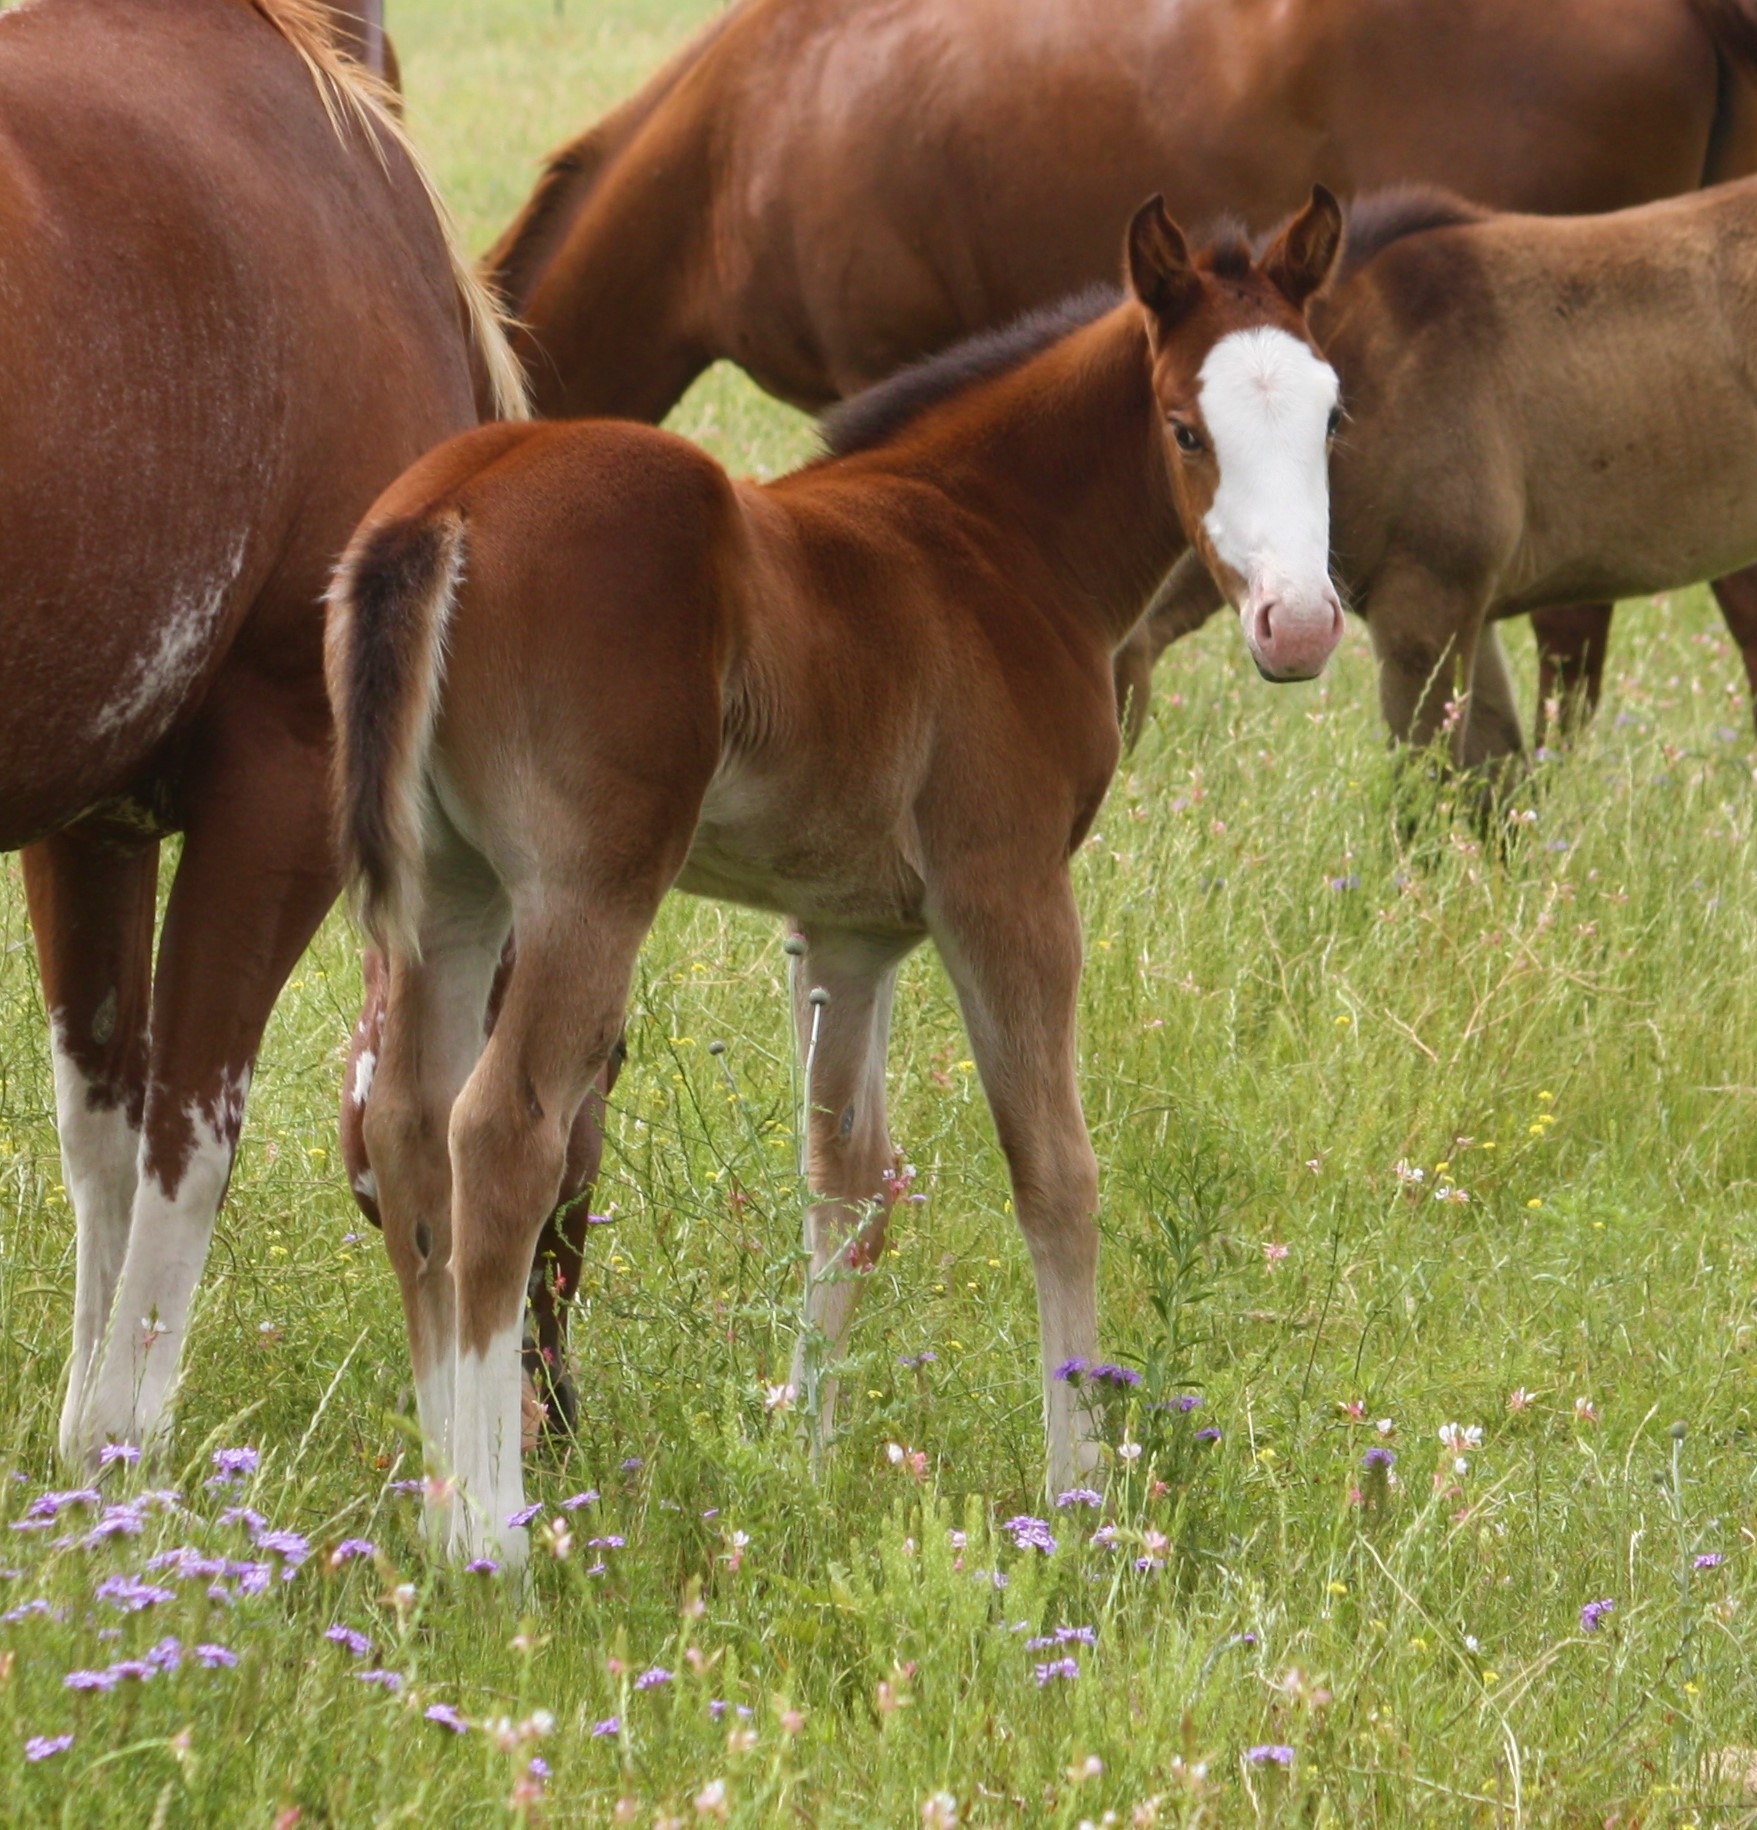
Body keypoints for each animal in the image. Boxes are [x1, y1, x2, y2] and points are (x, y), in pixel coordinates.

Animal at [5, 0, 524, 1470]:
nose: (550, 1414)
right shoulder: (286, 790)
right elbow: (191, 1149)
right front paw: (122, 1462)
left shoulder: (90, 816)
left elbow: (105, 1135)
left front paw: (74, 1468)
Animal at [325, 190, 1347, 1561]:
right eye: (1186, 427)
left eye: (1331, 413)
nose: (1300, 624)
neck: (987, 544)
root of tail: (448, 508)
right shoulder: (1002, 887)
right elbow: (1054, 1172)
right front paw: (1077, 1482)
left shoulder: (846, 931)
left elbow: (846, 1188)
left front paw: (802, 1466)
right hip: (587, 888)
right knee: (500, 1136)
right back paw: (494, 1538)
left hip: (453, 891)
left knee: (406, 1128)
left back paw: (440, 1514)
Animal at [1123, 180, 1757, 772]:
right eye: (1183, 431)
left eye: (1334, 417)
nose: (1299, 636)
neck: (1383, 371)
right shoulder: (1464, 615)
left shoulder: (1424, 611)